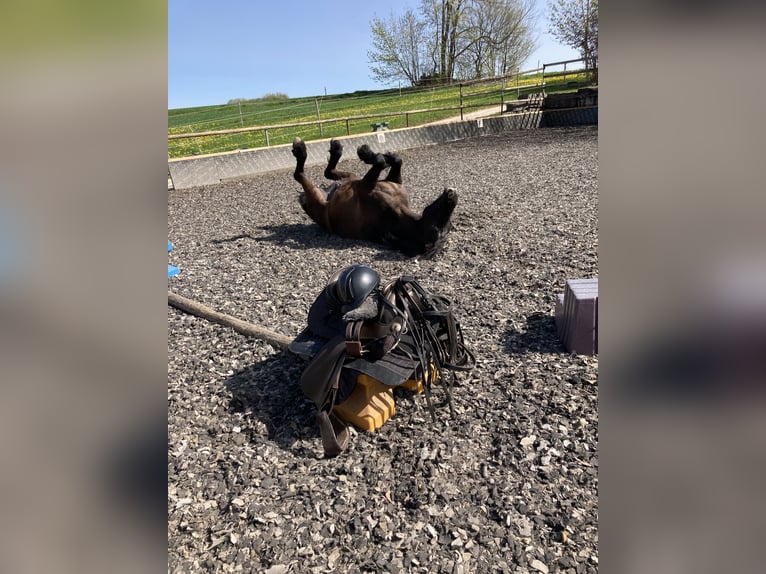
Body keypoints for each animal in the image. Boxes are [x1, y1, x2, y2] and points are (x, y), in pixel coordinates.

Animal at [292, 138, 460, 258]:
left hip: (316, 197)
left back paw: (301, 149)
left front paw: (366, 152)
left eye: (437, 228)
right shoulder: (393, 181)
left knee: (299, 174)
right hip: (351, 177)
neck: (397, 213)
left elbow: (379, 162)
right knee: (329, 171)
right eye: (444, 222)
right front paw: (382, 154)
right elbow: (395, 160)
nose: (452, 196)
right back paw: (336, 149)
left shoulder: (364, 186)